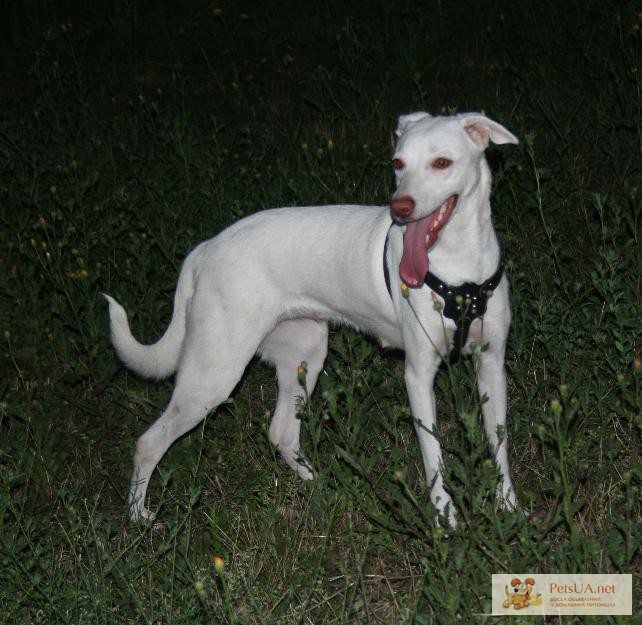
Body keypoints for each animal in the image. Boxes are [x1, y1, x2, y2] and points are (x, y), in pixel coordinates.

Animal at [104, 109, 516, 524]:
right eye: (398, 164)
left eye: (442, 163)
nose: (398, 207)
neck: (460, 269)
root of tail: (205, 249)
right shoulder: (419, 374)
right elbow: (434, 456)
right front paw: (445, 519)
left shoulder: (491, 364)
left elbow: (499, 443)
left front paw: (509, 509)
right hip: (214, 377)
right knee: (148, 443)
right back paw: (139, 517)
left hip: (306, 354)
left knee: (281, 432)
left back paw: (317, 485)